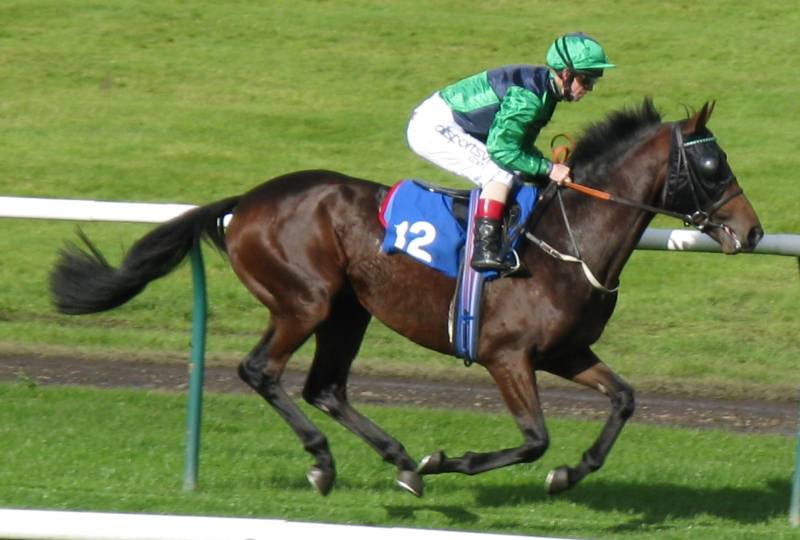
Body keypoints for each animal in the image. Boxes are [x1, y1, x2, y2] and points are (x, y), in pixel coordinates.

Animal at [50, 98, 762, 498]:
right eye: (712, 166)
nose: (752, 231)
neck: (568, 238)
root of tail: (245, 201)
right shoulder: (508, 356)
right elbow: (533, 438)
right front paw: (450, 458)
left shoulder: (565, 352)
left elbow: (624, 400)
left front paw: (569, 473)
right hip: (305, 302)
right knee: (263, 372)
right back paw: (325, 462)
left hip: (348, 310)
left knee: (326, 387)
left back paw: (397, 461)